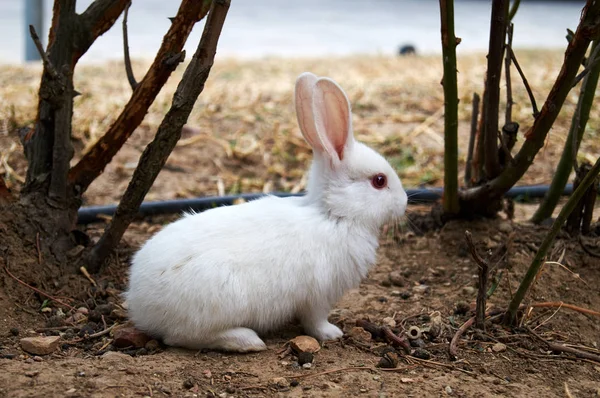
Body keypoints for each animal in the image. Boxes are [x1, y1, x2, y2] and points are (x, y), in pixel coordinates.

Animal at [126, 72, 408, 352]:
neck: (333, 214)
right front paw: (332, 333)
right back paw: (247, 341)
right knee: (181, 337)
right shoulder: (317, 296)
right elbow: (315, 321)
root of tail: (140, 305)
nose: (404, 202)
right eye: (379, 181)